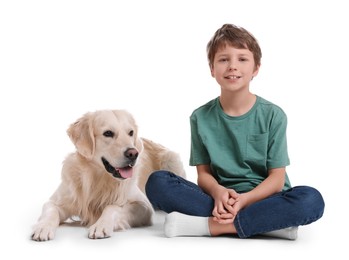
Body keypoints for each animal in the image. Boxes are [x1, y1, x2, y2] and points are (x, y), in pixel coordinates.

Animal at [31, 108, 186, 241]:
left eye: (130, 132)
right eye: (108, 133)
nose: (133, 153)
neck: (98, 178)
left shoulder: (144, 206)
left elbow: (112, 207)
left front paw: (101, 225)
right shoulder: (57, 200)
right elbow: (50, 211)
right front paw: (42, 228)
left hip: (171, 158)